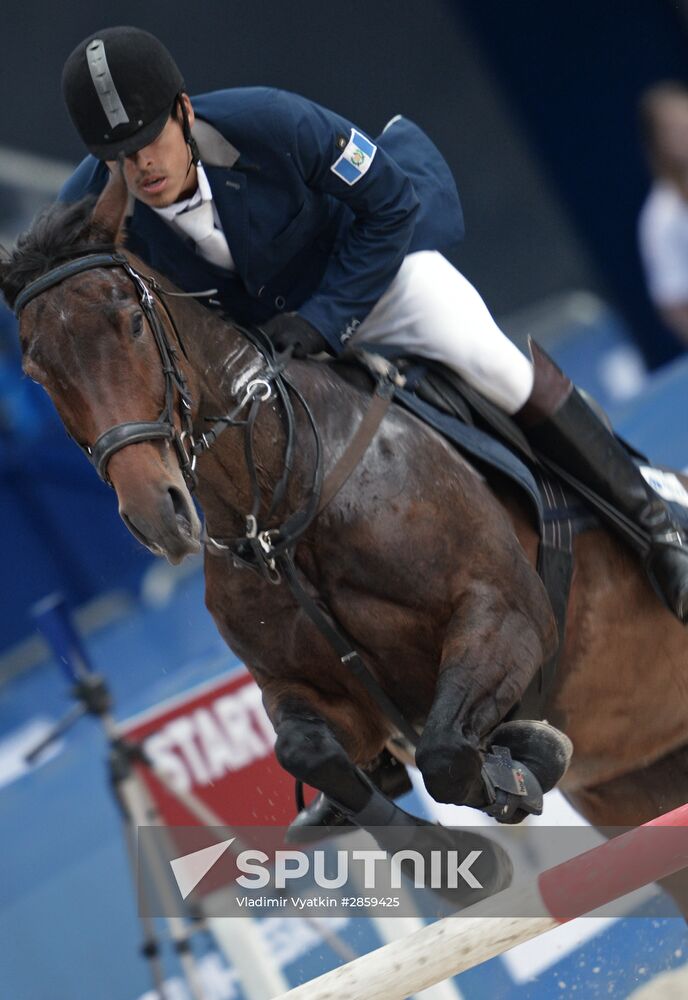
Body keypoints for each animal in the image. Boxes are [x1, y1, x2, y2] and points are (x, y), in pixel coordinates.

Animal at [1, 172, 688, 908]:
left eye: (129, 321)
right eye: (36, 373)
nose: (157, 514)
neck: (281, 507)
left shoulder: (507, 614)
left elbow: (446, 752)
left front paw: (526, 760)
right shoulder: (316, 693)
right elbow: (311, 753)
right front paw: (454, 853)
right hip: (636, 786)